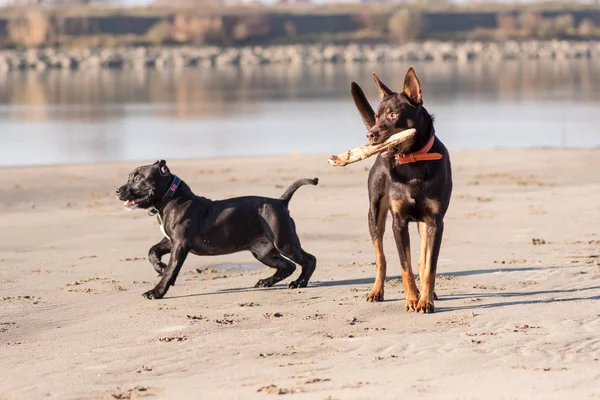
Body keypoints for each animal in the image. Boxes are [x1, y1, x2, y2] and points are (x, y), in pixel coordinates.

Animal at [114, 161, 316, 298]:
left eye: (138, 178)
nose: (117, 191)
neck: (171, 198)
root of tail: (281, 201)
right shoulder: (170, 240)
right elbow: (152, 251)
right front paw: (160, 267)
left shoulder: (180, 244)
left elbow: (172, 269)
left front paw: (157, 291)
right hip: (263, 252)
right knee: (287, 266)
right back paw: (266, 282)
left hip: (284, 242)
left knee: (309, 260)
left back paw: (299, 283)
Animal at [350, 67, 452, 314]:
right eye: (377, 116)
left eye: (393, 114)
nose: (370, 135)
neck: (413, 162)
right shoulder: (399, 221)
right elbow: (405, 266)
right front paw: (412, 299)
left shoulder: (435, 221)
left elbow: (429, 266)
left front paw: (425, 301)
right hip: (375, 213)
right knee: (381, 257)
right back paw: (376, 291)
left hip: (423, 224)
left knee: (422, 259)